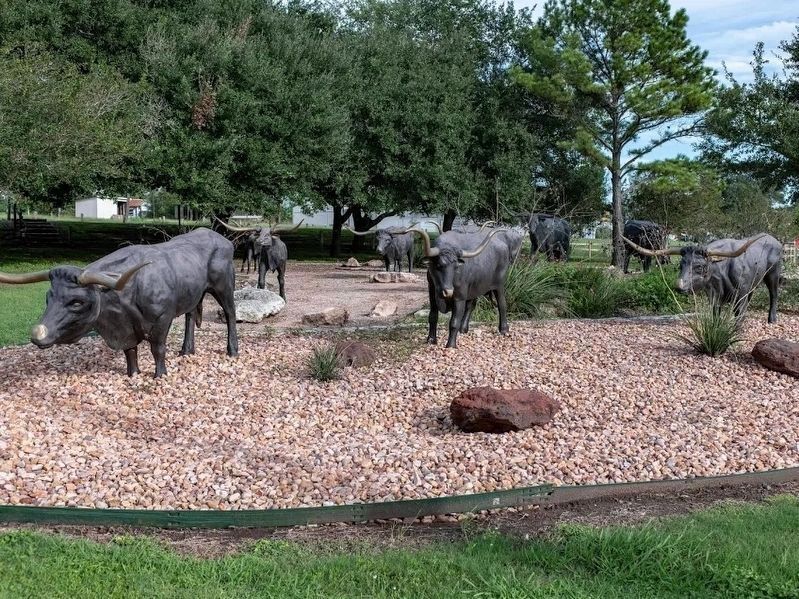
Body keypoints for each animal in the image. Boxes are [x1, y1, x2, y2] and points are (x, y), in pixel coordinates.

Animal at [0, 228, 239, 377]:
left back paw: (233, 350)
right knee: (190, 315)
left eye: (76, 302)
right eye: (48, 297)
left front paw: (160, 375)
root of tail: (222, 239)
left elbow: (158, 349)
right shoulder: (126, 327)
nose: (37, 334)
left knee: (230, 314)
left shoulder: (162, 319)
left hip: (224, 287)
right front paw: (133, 373)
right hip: (193, 292)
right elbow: (130, 351)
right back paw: (186, 351)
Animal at [391, 227, 521, 348]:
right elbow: (432, 316)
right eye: (438, 265)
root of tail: (503, 244)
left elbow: (454, 322)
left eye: (455, 267)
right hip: (475, 287)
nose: (448, 292)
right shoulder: (432, 292)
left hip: (499, 286)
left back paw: (504, 329)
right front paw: (431, 339)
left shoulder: (459, 297)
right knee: (470, 306)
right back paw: (463, 329)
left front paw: (451, 345)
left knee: (502, 304)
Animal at [622, 233, 781, 323]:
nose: (679, 286)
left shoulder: (740, 293)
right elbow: (715, 314)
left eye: (699, 266)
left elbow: (738, 313)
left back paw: (772, 319)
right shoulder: (714, 296)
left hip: (773, 273)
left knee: (774, 294)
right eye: (681, 265)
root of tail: (775, 241)